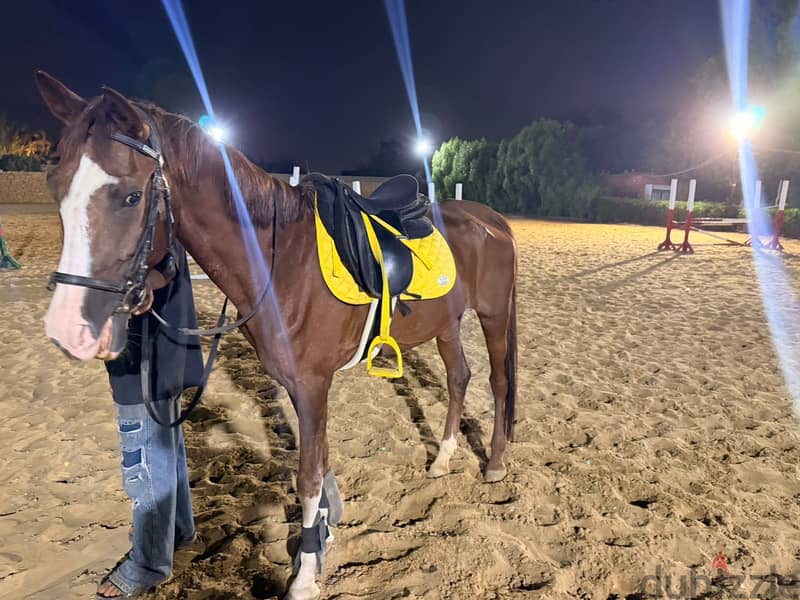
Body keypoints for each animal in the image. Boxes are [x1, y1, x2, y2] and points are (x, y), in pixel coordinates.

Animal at [35, 71, 517, 600]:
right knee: (458, 377)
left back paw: (493, 463)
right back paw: (444, 458)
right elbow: (317, 463)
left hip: (492, 316)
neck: (282, 260)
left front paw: (304, 575)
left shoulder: (313, 385)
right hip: (445, 325)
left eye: (130, 197)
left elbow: (307, 477)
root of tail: (492, 220)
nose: (67, 328)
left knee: (496, 382)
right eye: (55, 188)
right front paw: (323, 535)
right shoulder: (297, 385)